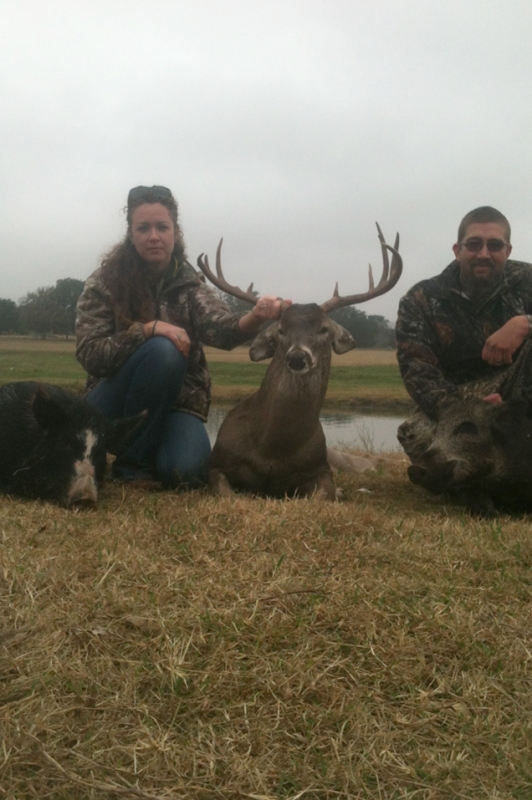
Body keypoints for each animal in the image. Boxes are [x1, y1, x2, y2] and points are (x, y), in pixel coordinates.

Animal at [197, 224, 402, 500]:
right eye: (281, 330)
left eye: (324, 329)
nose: (297, 357)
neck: (272, 450)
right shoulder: (218, 464)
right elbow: (226, 494)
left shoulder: (320, 468)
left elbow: (323, 495)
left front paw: (337, 492)